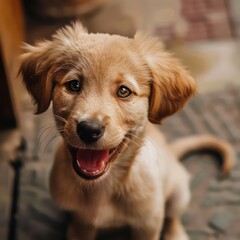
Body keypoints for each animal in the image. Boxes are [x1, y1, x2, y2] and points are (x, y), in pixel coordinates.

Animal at [19, 22, 233, 240]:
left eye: (123, 91)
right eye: (74, 85)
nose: (89, 129)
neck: (102, 187)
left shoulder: (148, 222)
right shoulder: (80, 222)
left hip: (179, 193)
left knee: (173, 217)